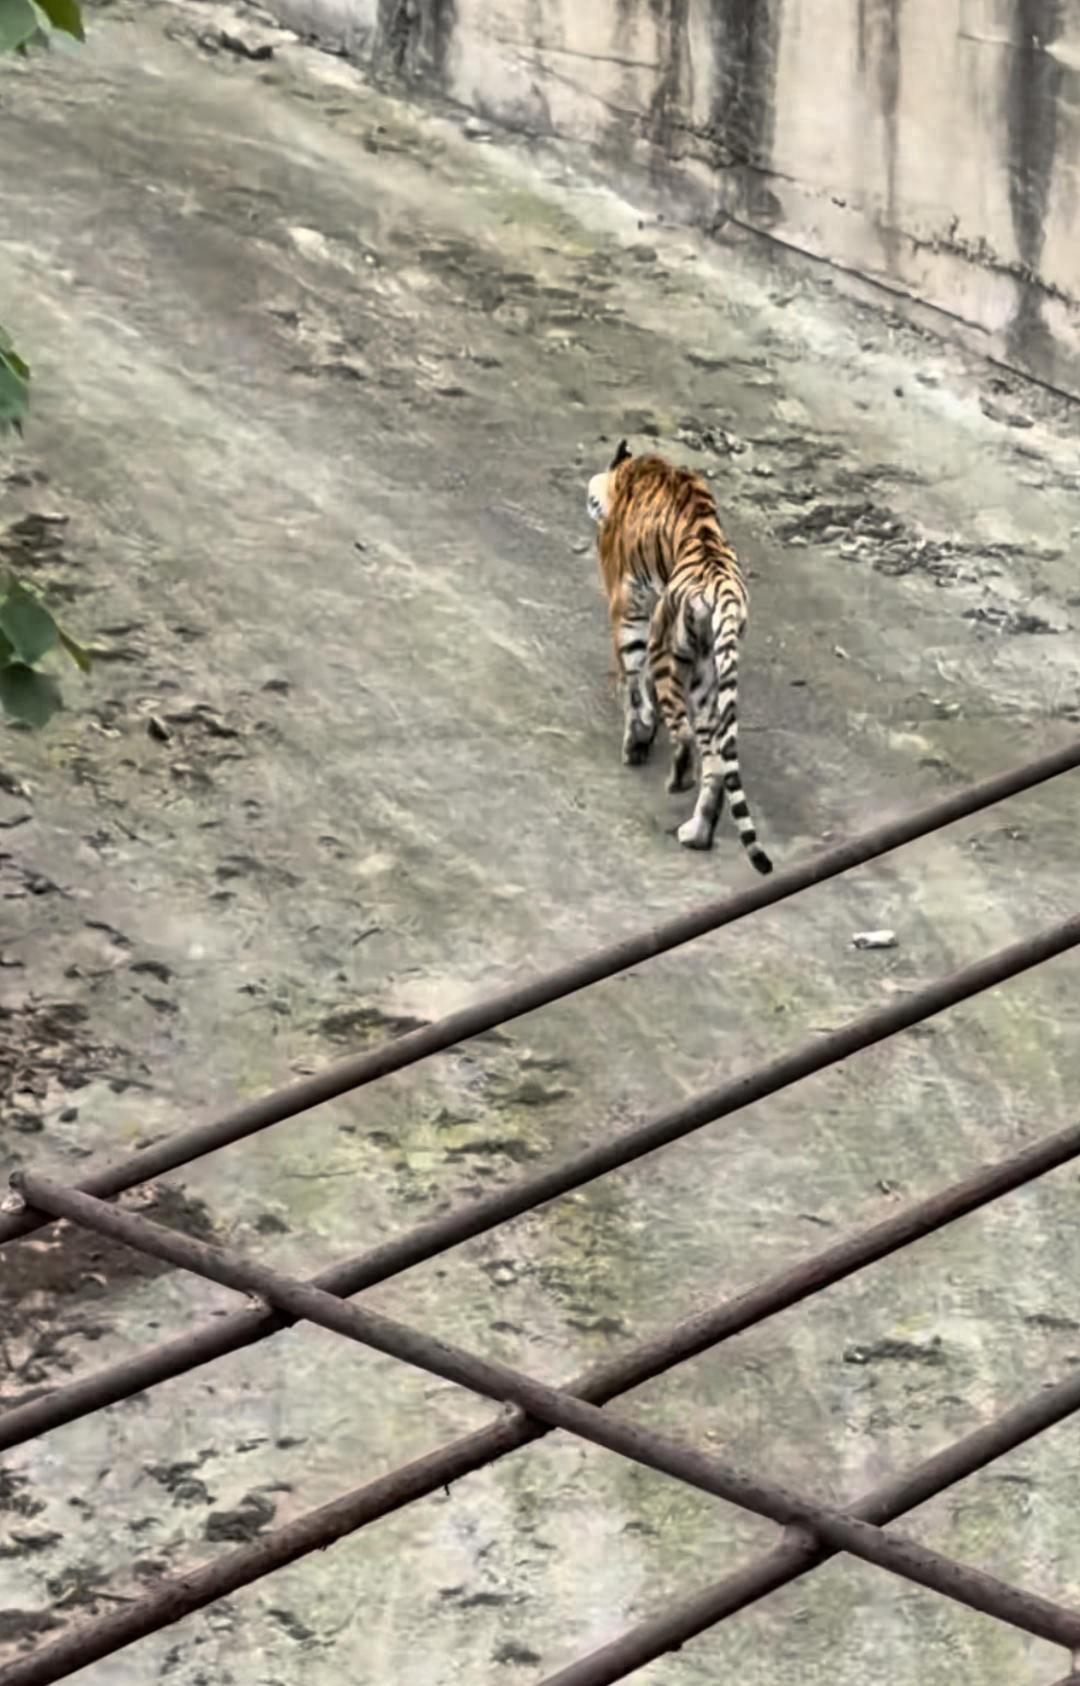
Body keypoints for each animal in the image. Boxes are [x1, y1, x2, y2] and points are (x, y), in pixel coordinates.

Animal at [585, 439, 772, 874]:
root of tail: (721, 585)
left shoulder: (628, 608)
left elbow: (632, 682)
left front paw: (636, 740)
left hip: (670, 651)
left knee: (686, 736)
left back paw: (676, 781)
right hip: (708, 676)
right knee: (716, 763)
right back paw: (697, 833)